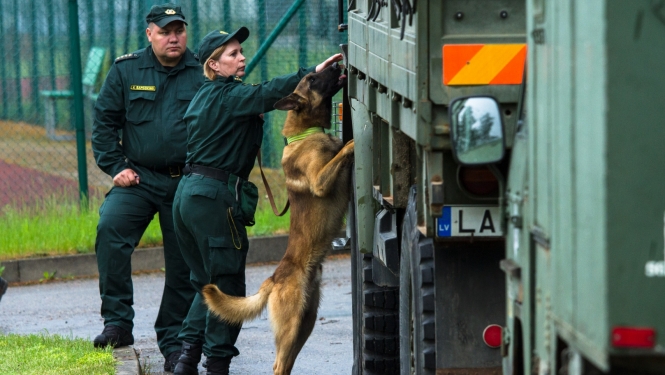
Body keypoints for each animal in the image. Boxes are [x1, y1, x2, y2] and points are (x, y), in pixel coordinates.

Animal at [201, 64, 352, 375]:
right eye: (312, 79)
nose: (335, 63)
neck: (306, 133)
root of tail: (273, 278)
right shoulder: (320, 181)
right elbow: (342, 152)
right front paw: (353, 143)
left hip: (305, 324)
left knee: (287, 363)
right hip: (291, 326)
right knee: (278, 365)